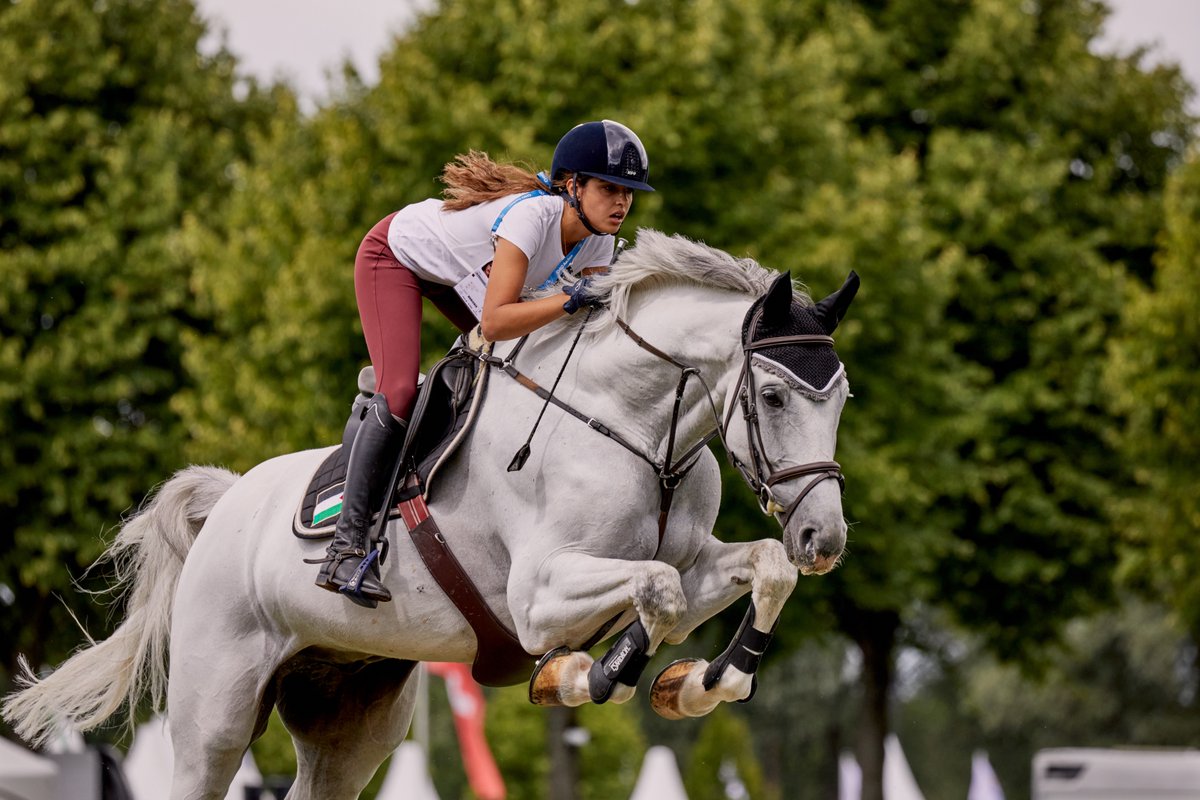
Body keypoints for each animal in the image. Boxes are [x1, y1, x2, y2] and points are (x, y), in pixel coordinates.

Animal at [3, 229, 857, 800]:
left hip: (352, 718)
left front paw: (703, 683)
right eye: (773, 395)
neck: (637, 427)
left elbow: (756, 572)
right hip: (214, 716)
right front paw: (585, 674)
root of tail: (228, 503)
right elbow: (657, 591)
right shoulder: (537, 596)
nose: (824, 538)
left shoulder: (697, 558)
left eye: (843, 396)